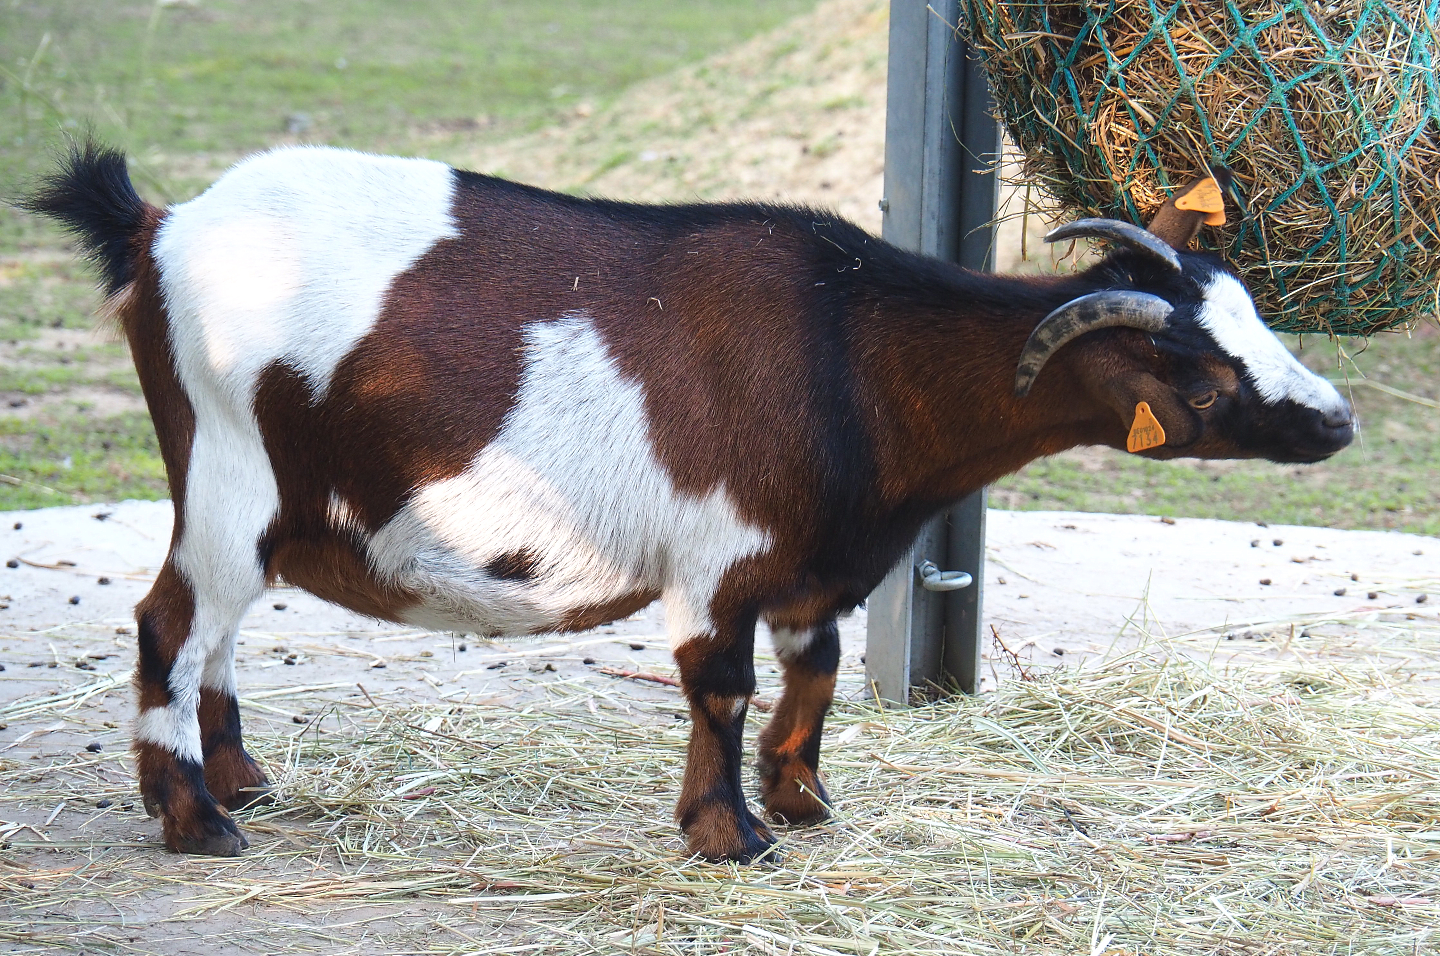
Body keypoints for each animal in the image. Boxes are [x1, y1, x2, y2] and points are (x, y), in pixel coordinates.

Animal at [24, 141, 1354, 863]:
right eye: (1197, 377)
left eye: (1255, 319)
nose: (1336, 420)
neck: (849, 348)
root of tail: (159, 225)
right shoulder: (720, 557)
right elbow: (723, 684)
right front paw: (731, 834)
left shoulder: (817, 562)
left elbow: (815, 671)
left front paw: (805, 802)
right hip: (228, 472)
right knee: (168, 625)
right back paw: (194, 817)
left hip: (257, 502)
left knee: (214, 632)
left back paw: (241, 776)